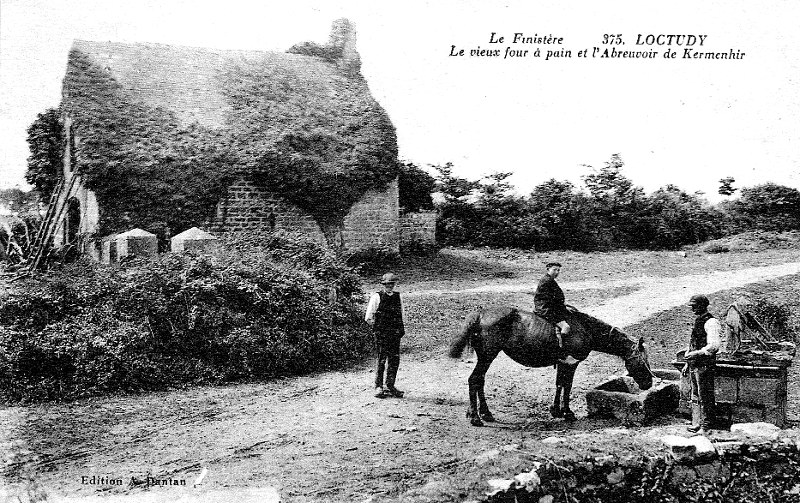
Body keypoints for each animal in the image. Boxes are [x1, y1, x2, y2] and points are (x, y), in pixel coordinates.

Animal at [446, 306, 652, 428]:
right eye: (643, 361)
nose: (649, 383)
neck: (585, 328)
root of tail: (480, 314)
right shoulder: (571, 363)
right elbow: (567, 386)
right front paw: (567, 412)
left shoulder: (563, 363)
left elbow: (559, 384)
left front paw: (556, 410)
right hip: (487, 357)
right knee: (474, 380)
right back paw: (475, 417)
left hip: (485, 358)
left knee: (479, 381)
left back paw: (485, 413)